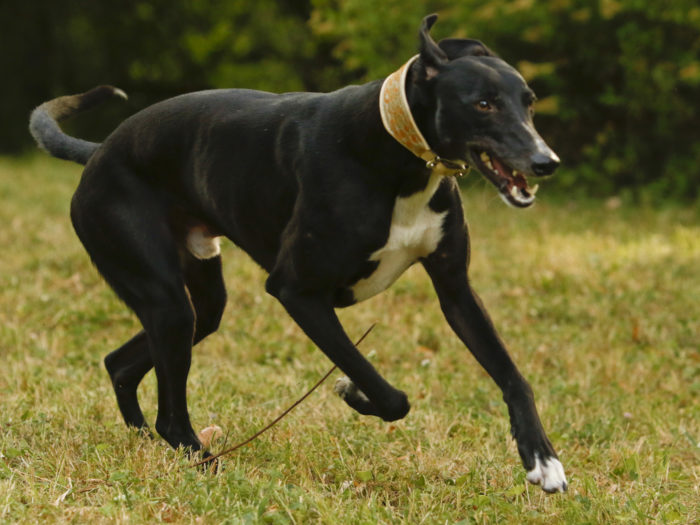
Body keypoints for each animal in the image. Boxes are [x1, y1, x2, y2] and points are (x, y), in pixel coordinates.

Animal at [29, 15, 567, 492]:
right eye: (483, 104)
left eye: (529, 103)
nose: (546, 162)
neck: (393, 148)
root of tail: (98, 151)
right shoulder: (297, 292)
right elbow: (386, 391)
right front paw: (354, 391)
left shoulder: (455, 289)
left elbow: (513, 377)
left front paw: (543, 461)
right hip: (163, 298)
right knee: (170, 414)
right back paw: (210, 465)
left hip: (197, 302)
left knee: (122, 363)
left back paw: (149, 446)